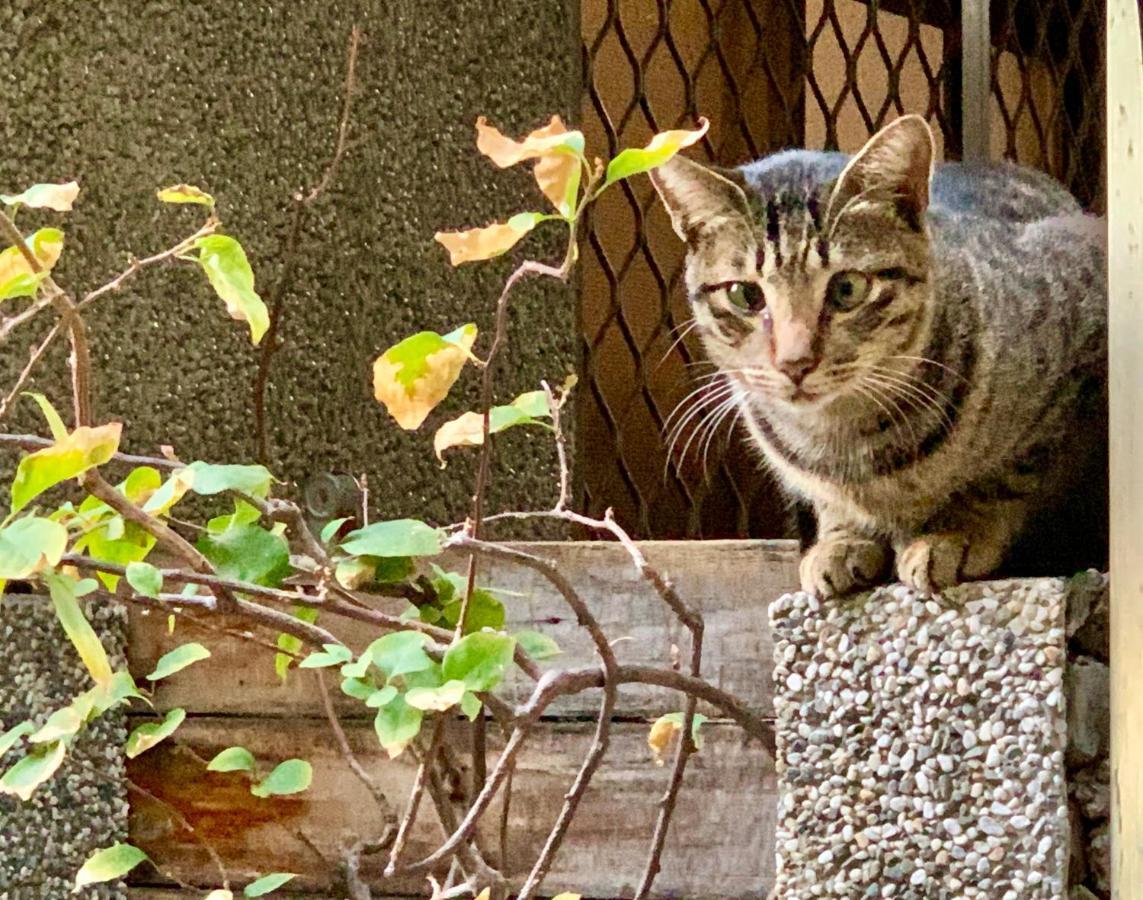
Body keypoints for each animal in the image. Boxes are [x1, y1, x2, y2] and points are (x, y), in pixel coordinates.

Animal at [653, 117, 1106, 599]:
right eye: (745, 294)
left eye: (847, 288)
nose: (795, 363)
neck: (848, 441)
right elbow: (833, 504)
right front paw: (842, 540)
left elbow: (1007, 475)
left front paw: (955, 532)